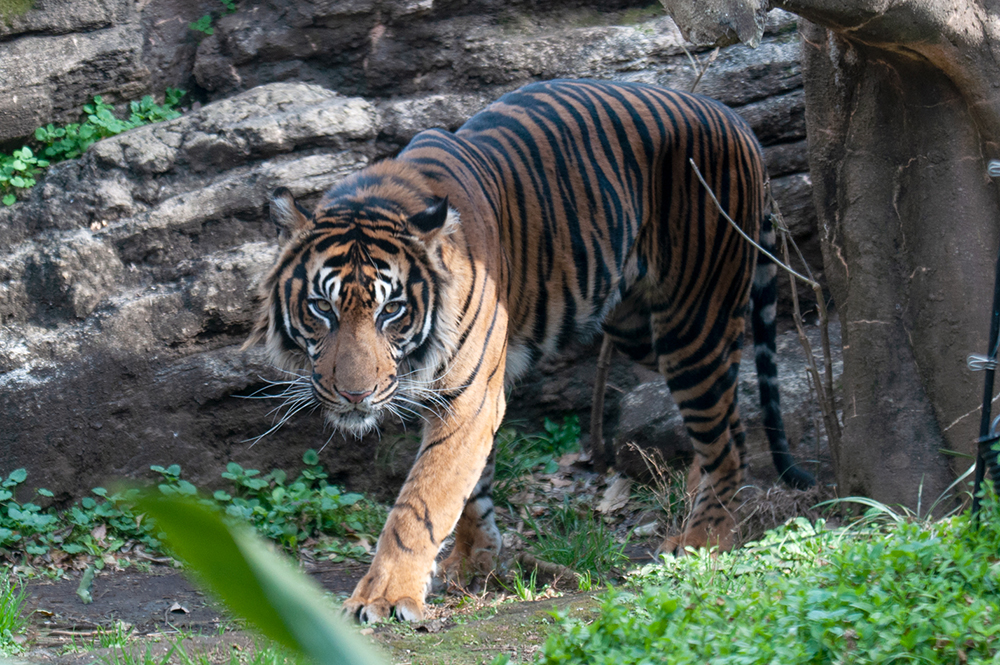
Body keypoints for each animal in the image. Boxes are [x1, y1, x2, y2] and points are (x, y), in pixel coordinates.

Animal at [246, 78, 816, 624]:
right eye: (322, 308)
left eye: (392, 311)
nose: (354, 395)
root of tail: (734, 118)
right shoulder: (471, 397)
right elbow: (471, 485)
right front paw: (473, 561)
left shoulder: (471, 395)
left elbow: (423, 501)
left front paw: (384, 597)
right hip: (642, 328)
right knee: (726, 414)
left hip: (693, 319)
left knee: (728, 434)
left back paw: (703, 540)